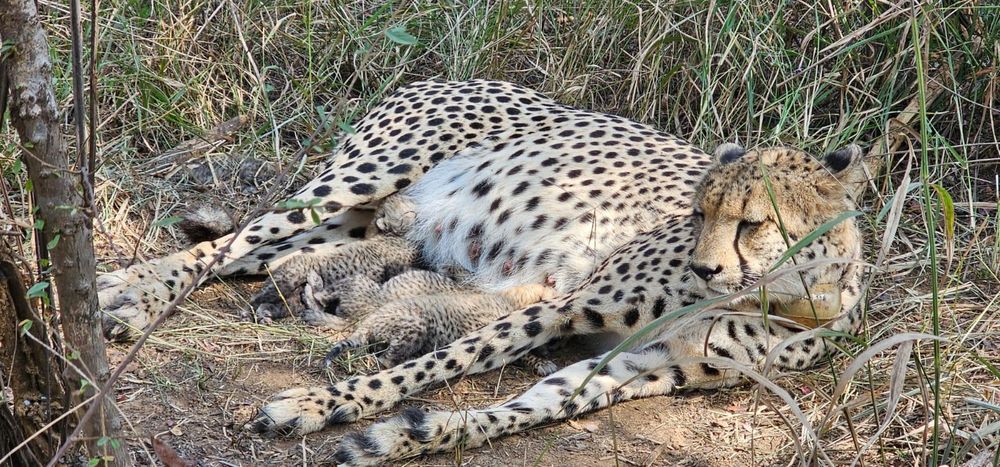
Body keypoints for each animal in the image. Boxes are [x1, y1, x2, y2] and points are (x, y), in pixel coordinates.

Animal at [94, 79, 870, 466]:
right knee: (230, 242)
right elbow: (444, 360)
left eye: (753, 222)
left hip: (357, 224)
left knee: (268, 257)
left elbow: (522, 407)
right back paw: (127, 294)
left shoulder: (645, 366)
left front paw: (403, 437)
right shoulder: (565, 305)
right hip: (360, 179)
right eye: (699, 211)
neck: (786, 297)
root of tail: (442, 73)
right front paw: (320, 403)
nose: (706, 266)